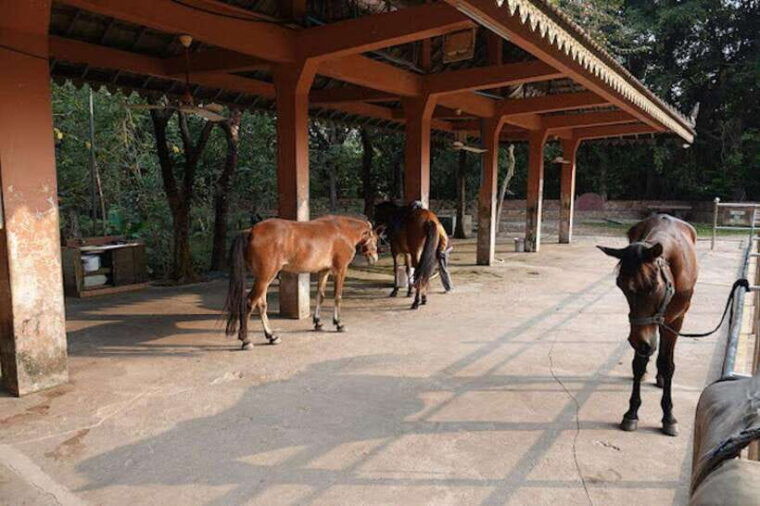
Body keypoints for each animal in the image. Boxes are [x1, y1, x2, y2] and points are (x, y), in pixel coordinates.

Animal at [224, 215, 380, 350]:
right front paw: (338, 323)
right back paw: (246, 340)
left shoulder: (324, 271)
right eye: (375, 239)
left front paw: (318, 322)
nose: (374, 258)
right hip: (265, 277)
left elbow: (320, 296)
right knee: (250, 302)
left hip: (263, 279)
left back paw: (271, 336)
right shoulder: (340, 270)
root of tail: (250, 231)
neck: (343, 231)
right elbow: (337, 296)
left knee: (261, 305)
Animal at [598, 214, 698, 436]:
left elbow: (668, 364)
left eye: (654, 286)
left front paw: (669, 417)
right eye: (620, 286)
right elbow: (638, 363)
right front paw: (632, 413)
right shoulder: (642, 332)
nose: (640, 342)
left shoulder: (676, 321)